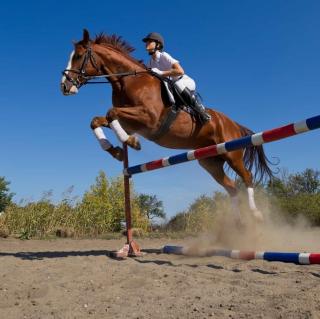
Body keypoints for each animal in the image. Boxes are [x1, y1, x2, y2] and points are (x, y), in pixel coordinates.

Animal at [60, 30, 272, 224]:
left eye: (78, 56)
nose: (64, 86)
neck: (128, 81)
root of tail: (234, 124)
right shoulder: (130, 122)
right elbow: (97, 120)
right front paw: (117, 151)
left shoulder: (149, 118)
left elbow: (111, 112)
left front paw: (131, 143)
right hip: (211, 161)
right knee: (231, 187)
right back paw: (237, 221)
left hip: (232, 153)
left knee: (247, 177)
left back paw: (256, 214)